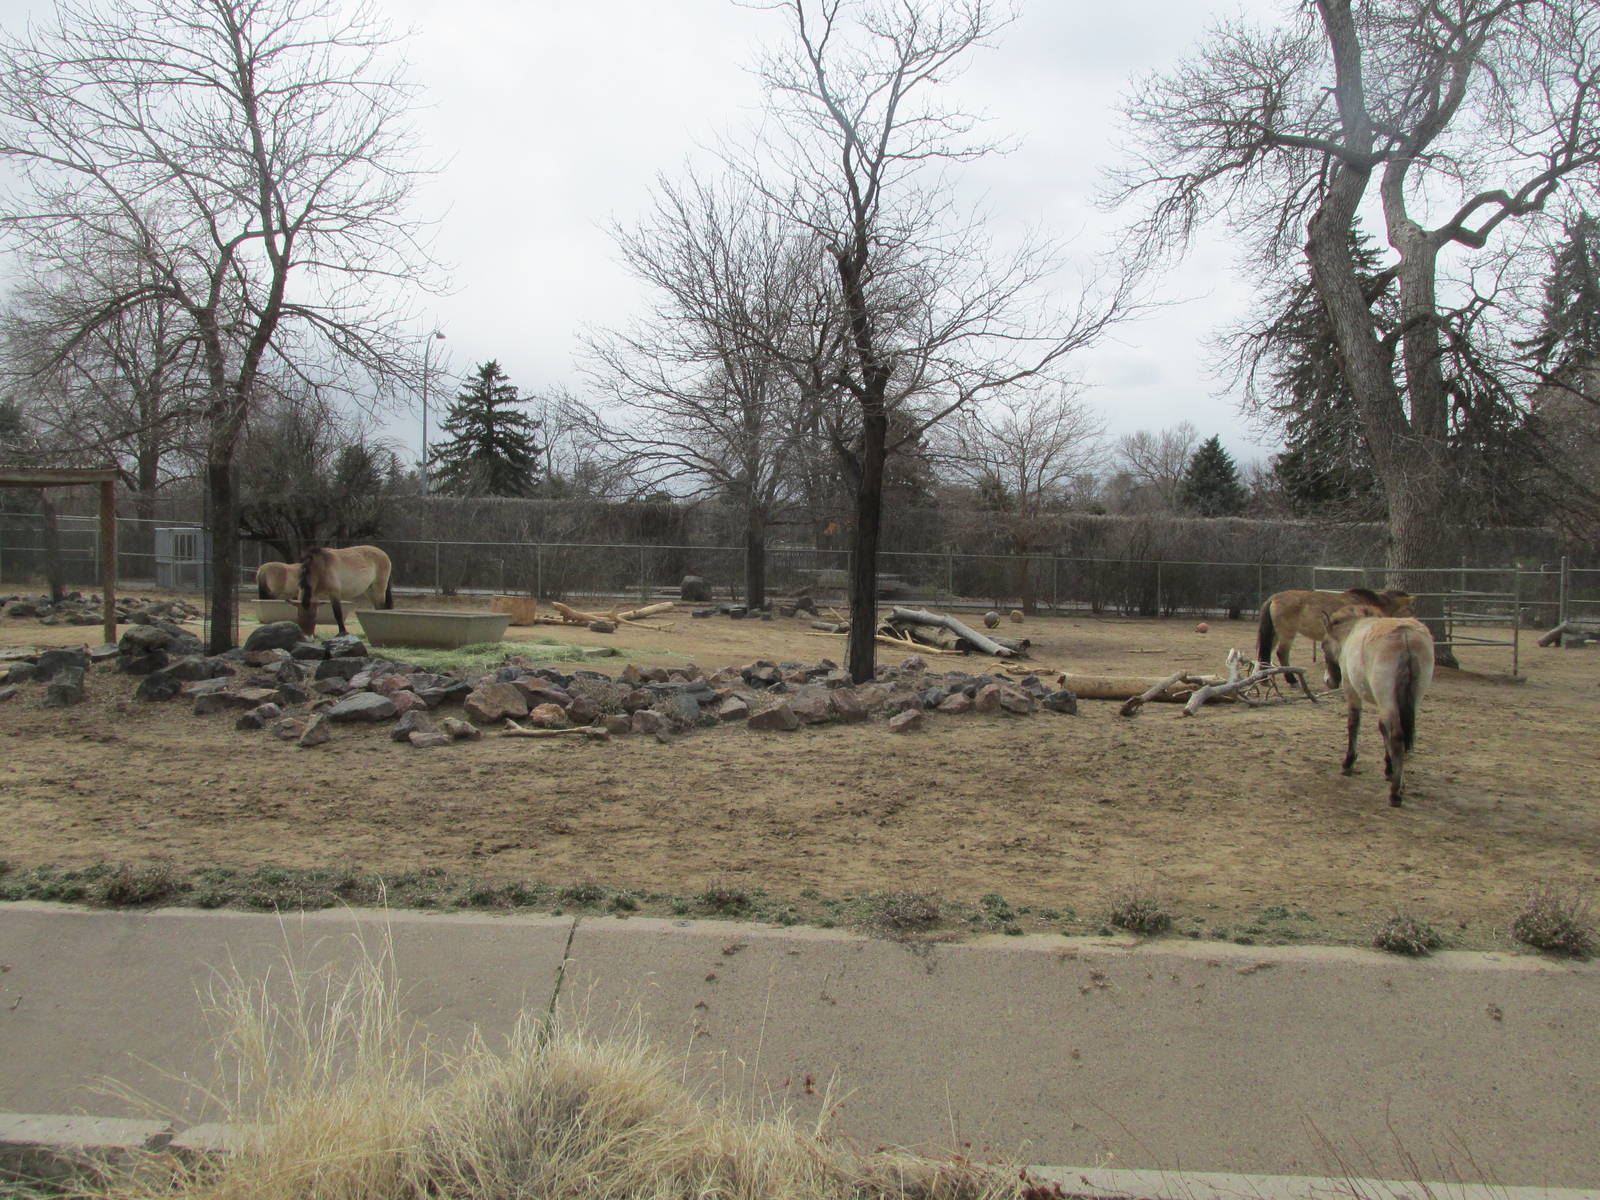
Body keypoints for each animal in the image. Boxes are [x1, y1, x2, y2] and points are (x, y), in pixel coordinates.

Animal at [1257, 586, 1414, 679]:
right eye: (1411, 609)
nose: (1414, 622)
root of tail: (1273, 598)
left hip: (1275, 634)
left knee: (1265, 652)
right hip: (1287, 634)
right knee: (1281, 653)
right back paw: (1292, 681)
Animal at [1319, 604, 1435, 807]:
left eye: (1323, 645)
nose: (1329, 681)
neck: (1352, 631)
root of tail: (1405, 636)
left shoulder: (1351, 690)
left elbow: (1354, 723)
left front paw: (1348, 763)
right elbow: (1382, 728)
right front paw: (1390, 768)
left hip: (1386, 698)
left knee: (1397, 736)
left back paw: (1395, 794)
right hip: (1410, 699)